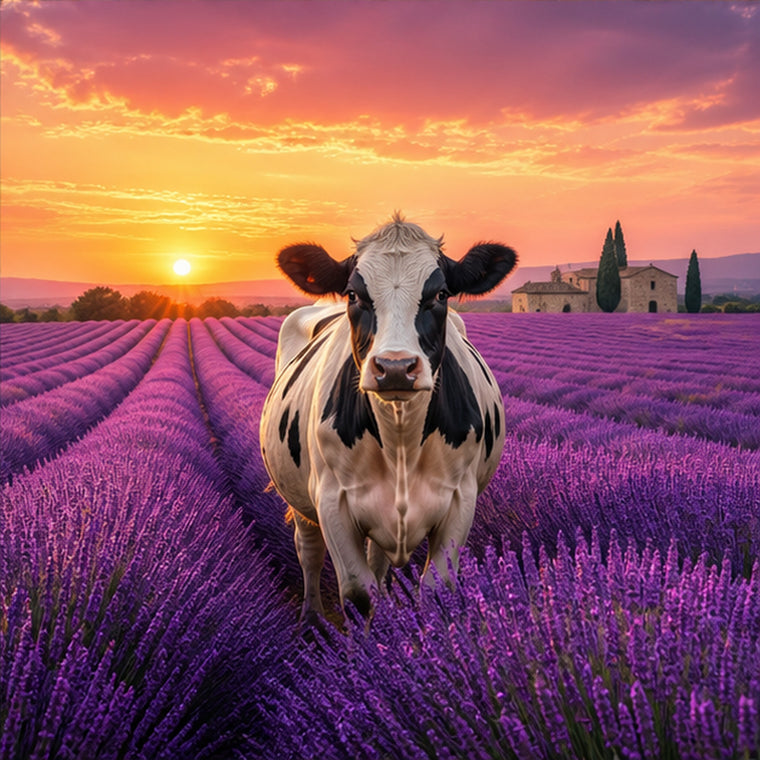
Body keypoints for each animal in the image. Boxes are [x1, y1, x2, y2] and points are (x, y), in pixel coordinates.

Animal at [259, 213, 517, 618]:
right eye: (354, 294)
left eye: (440, 294)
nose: (395, 368)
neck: (400, 438)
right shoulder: (331, 501)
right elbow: (359, 595)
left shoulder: (461, 499)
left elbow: (436, 591)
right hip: (299, 496)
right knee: (309, 550)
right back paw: (312, 617)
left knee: (377, 561)